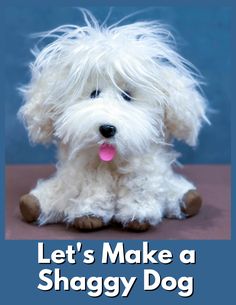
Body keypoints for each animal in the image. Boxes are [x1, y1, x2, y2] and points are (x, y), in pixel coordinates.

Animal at [18, 11, 206, 230]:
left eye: (127, 96)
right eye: (94, 93)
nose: (107, 128)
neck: (111, 163)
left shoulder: (143, 171)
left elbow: (140, 187)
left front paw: (138, 216)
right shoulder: (88, 175)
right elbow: (92, 192)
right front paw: (88, 215)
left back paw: (188, 199)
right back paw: (32, 205)